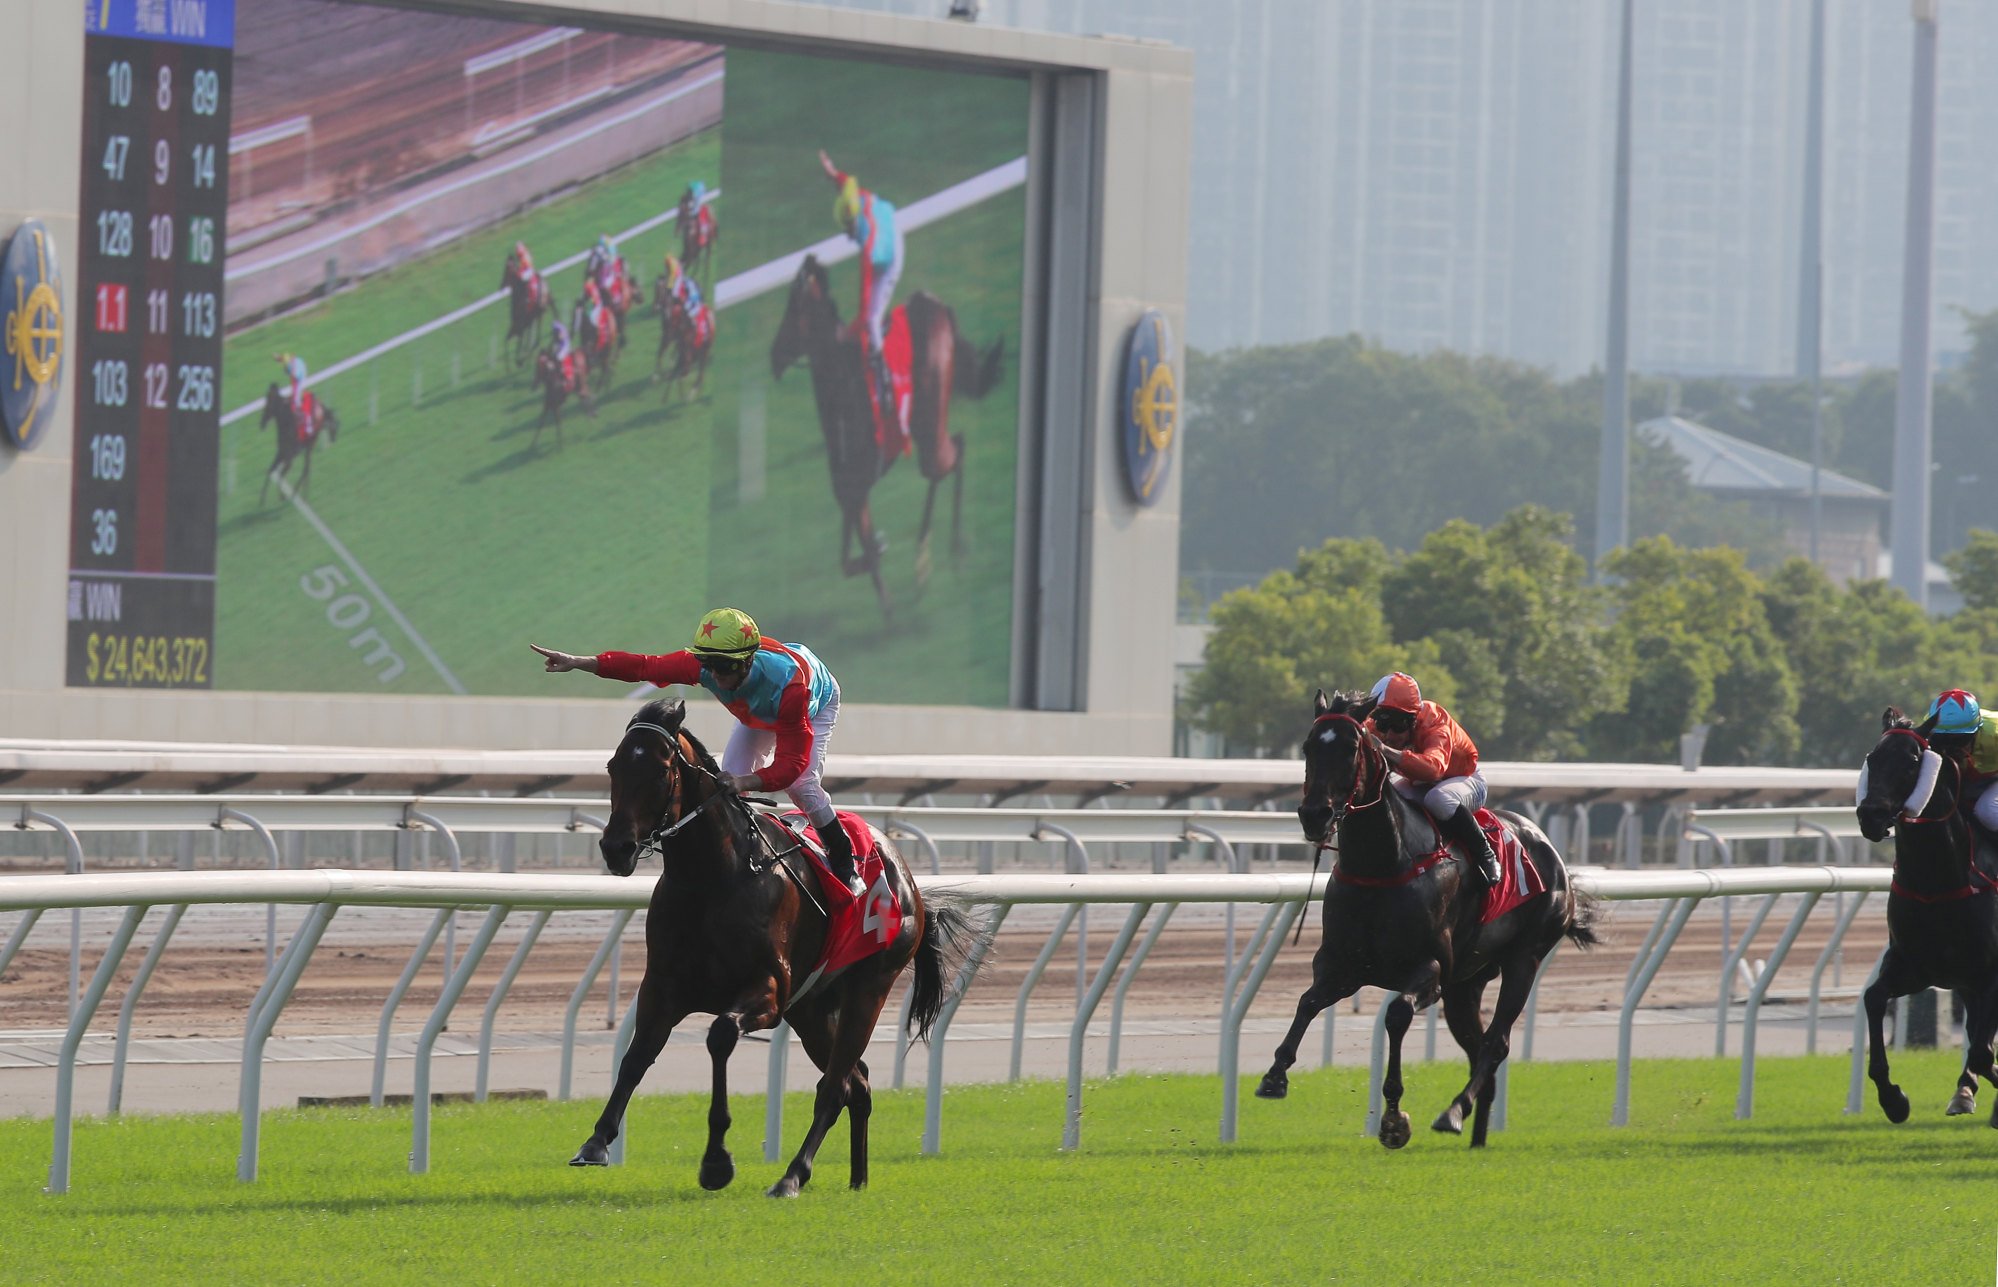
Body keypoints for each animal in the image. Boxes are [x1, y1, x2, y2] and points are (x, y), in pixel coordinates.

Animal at [571, 703, 975, 1199]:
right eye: (614, 766)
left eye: (660, 769)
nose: (617, 848)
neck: (712, 878)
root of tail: (907, 879)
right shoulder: (663, 986)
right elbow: (636, 1055)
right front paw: (596, 1142)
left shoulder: (768, 991)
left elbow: (720, 1035)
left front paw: (716, 1162)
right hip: (812, 1009)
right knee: (857, 1082)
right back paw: (856, 1179)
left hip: (869, 989)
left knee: (835, 1086)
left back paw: (792, 1175)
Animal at [771, 254, 1006, 619]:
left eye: (792, 310)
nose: (774, 356)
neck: (842, 382)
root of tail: (936, 306)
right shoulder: (853, 486)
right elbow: (854, 551)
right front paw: (879, 556)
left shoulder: (856, 480)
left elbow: (862, 549)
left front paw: (889, 608)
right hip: (925, 428)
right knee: (948, 457)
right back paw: (925, 558)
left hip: (930, 422)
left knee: (954, 453)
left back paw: (946, 552)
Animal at [1254, 687, 1598, 1151]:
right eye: (1308, 747)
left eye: (1350, 748)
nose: (1314, 815)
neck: (1383, 865)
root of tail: (1552, 852)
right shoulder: (1343, 965)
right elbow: (1307, 1002)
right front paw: (1275, 1075)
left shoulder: (1430, 970)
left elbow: (1397, 1014)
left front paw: (1394, 1119)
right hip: (1465, 985)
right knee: (1478, 1047)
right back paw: (1476, 1136)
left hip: (1524, 960)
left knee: (1496, 1043)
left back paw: (1453, 1112)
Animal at [1854, 707, 1998, 1119]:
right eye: (1873, 758)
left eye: (1912, 761)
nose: (1871, 815)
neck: (1938, 883)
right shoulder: (1917, 968)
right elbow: (1874, 999)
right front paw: (1893, 1099)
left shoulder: (1991, 973)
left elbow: (1982, 1052)